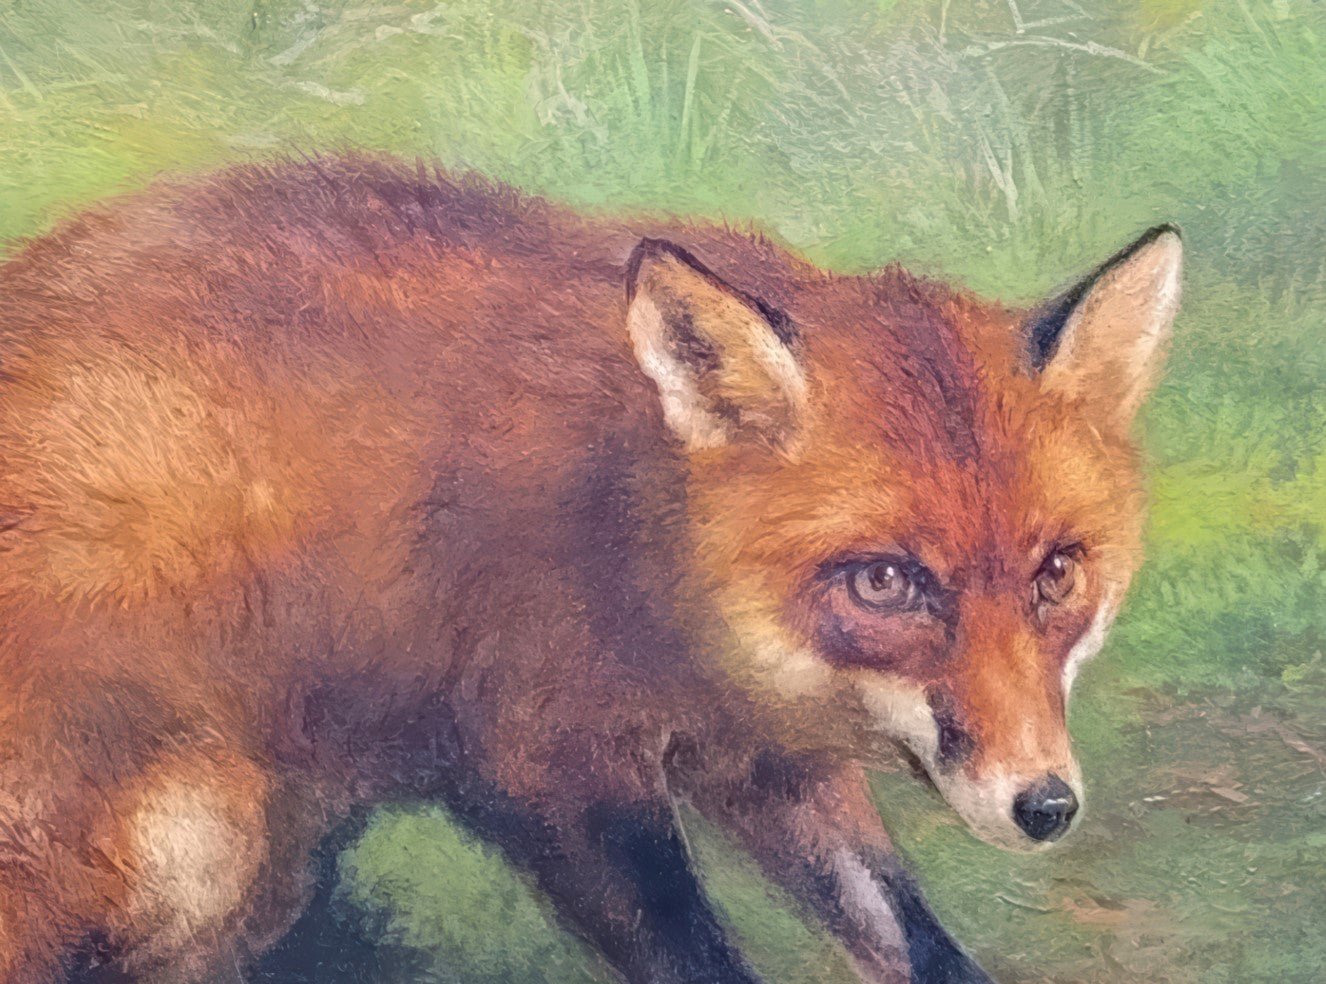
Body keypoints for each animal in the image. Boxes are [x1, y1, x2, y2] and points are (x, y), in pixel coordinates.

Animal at [0, 156, 1181, 984]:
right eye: (888, 583)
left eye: (1056, 574)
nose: (1046, 806)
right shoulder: (545, 767)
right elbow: (697, 957)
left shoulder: (767, 764)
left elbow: (909, 933)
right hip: (207, 832)